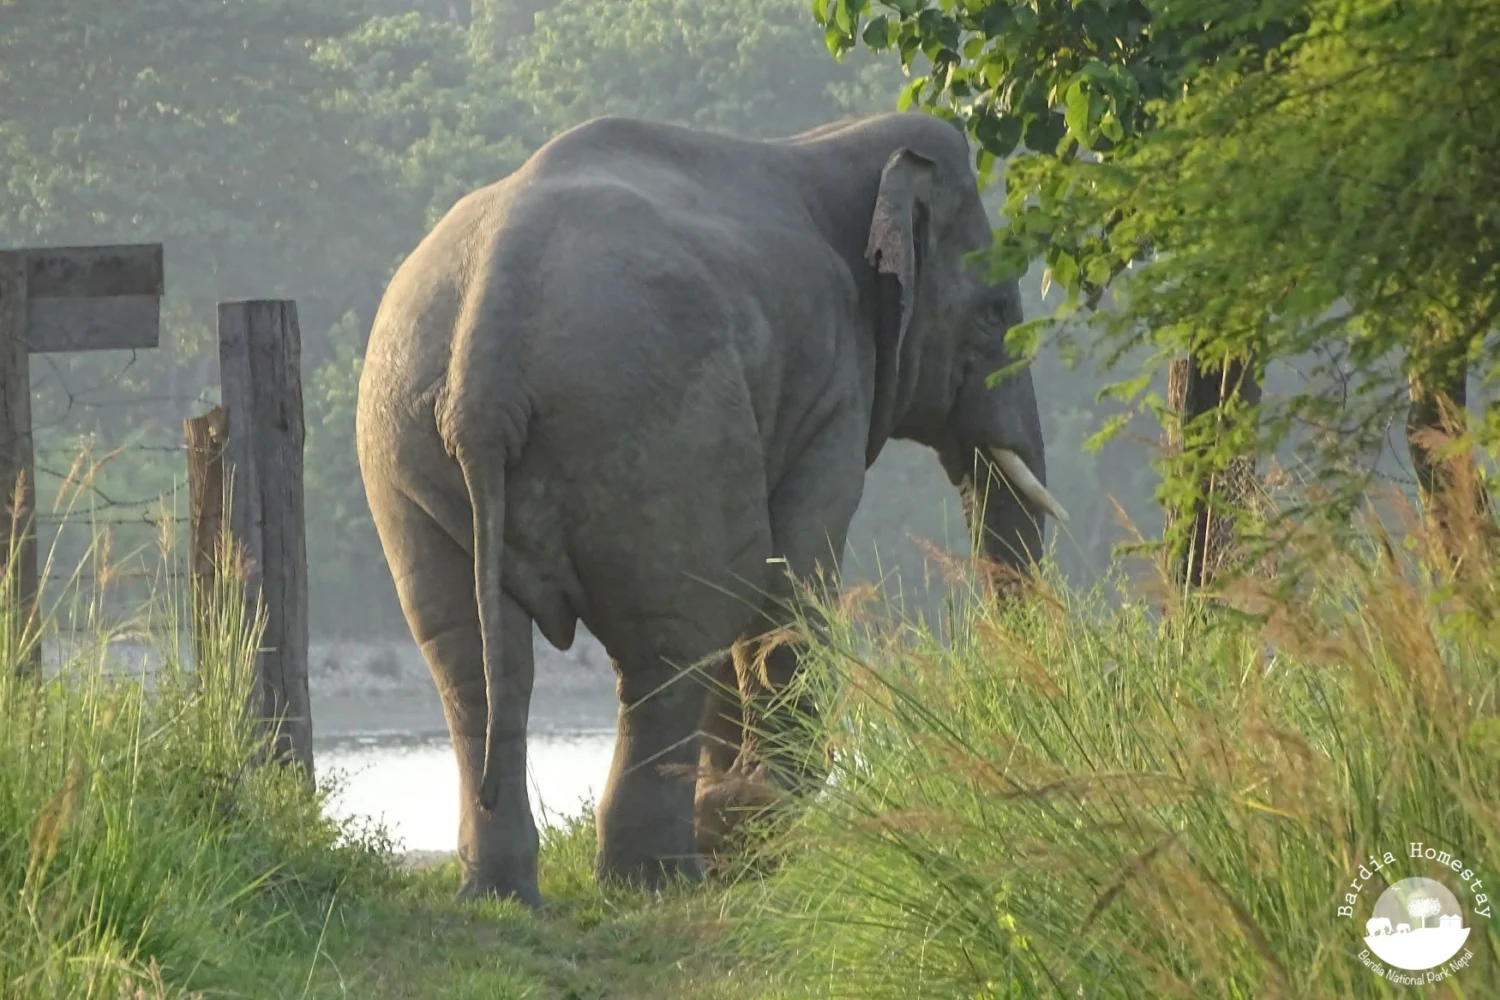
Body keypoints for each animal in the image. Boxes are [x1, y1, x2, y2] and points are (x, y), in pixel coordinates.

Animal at [355, 111, 1067, 906]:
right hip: (659, 430)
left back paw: (507, 893)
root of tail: (487, 355)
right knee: (671, 638)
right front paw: (750, 818)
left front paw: (743, 817)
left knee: (471, 657)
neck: (834, 147)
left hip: (408, 452)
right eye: (997, 312)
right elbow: (792, 565)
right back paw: (663, 879)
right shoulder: (831, 389)